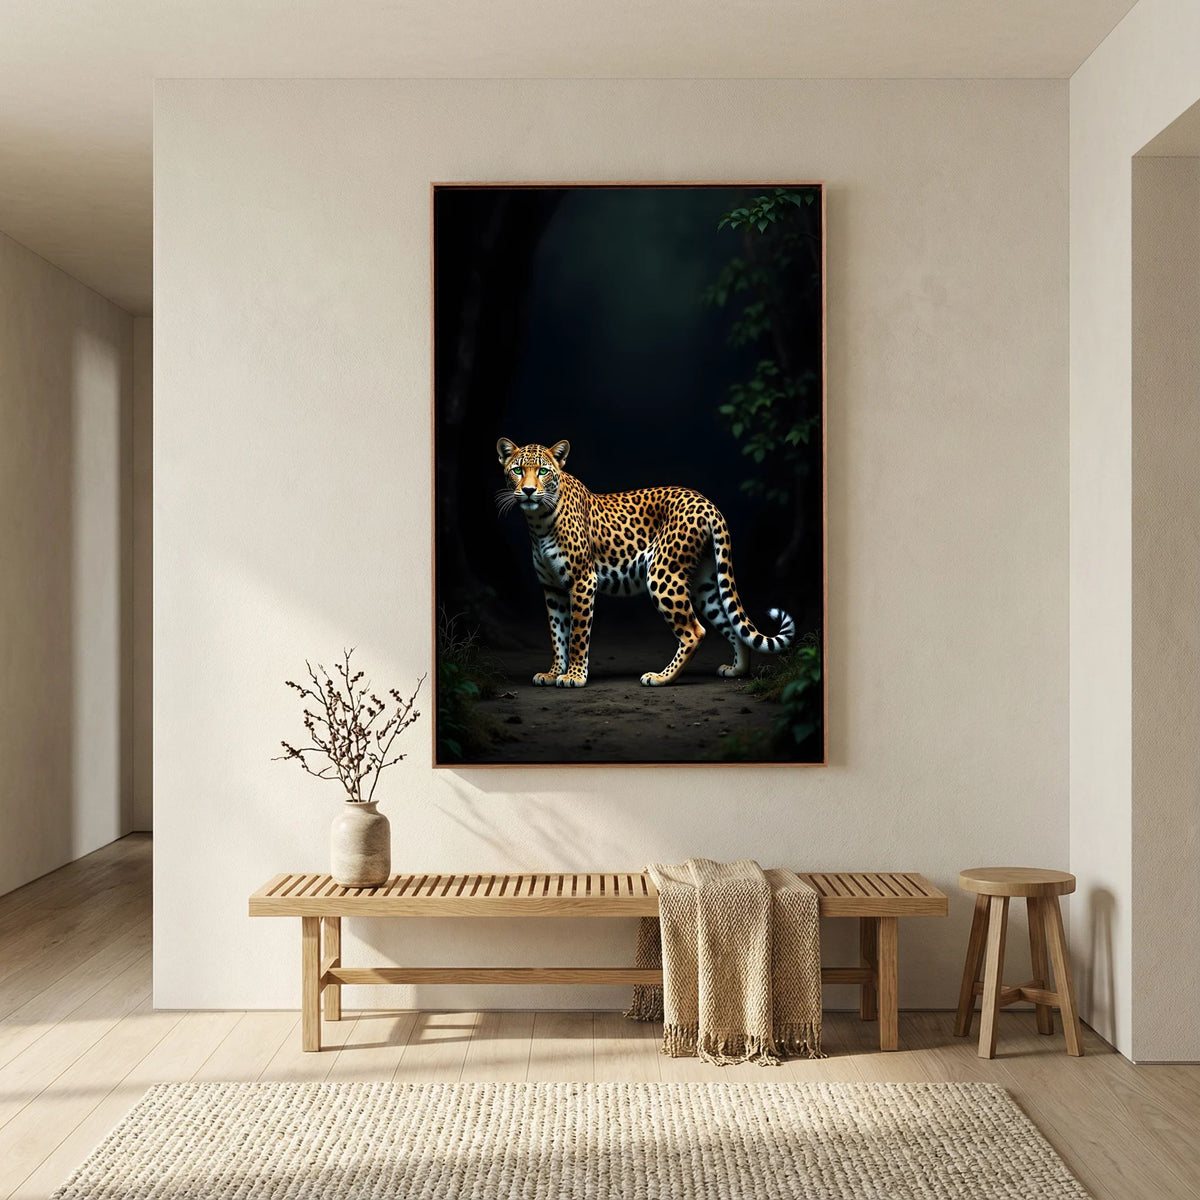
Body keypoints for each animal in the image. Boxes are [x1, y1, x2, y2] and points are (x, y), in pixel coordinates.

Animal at [495, 437, 796, 688]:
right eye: (518, 470)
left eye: (543, 472)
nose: (529, 490)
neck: (538, 522)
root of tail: (707, 503)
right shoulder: (552, 588)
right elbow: (557, 634)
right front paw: (554, 672)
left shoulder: (582, 582)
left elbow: (577, 635)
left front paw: (574, 677)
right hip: (703, 583)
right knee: (730, 623)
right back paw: (737, 670)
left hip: (663, 575)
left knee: (694, 631)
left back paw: (661, 677)